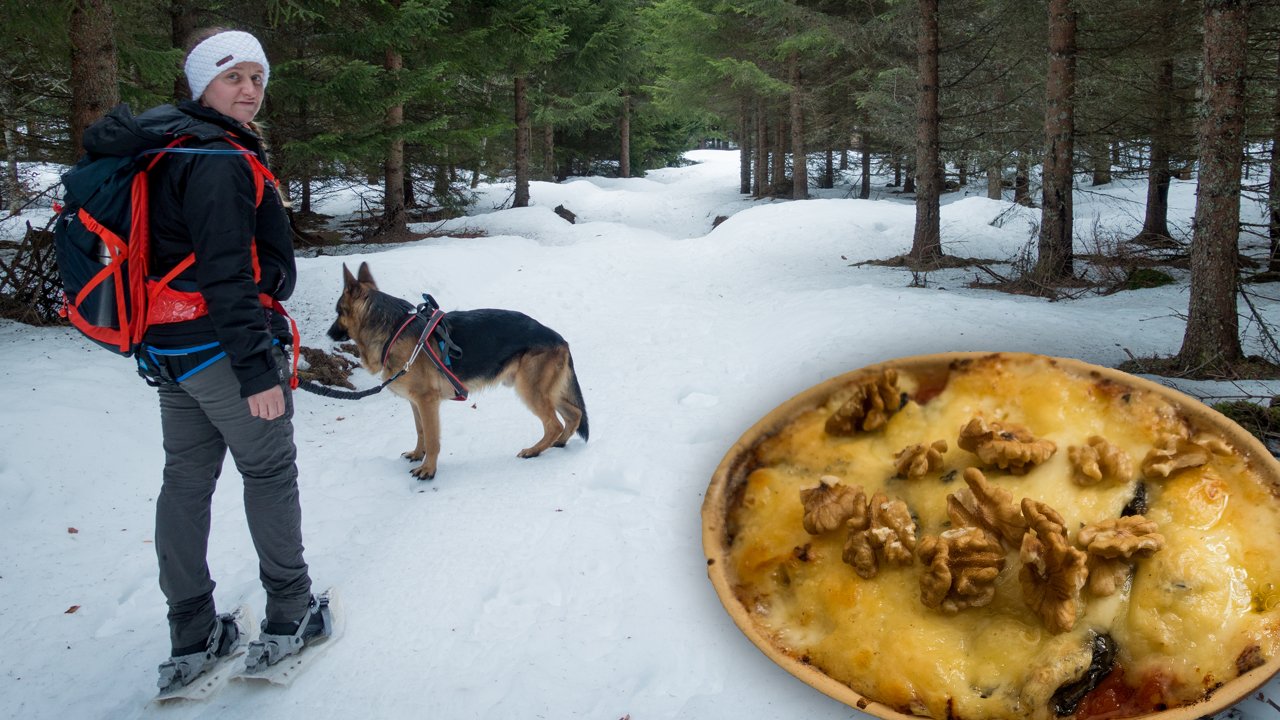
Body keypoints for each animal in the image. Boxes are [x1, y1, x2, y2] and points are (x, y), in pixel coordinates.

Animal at [330, 262, 588, 476]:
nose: (328, 334)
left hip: (530, 390)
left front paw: (428, 470)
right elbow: (420, 431)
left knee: (554, 424)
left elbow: (432, 438)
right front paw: (418, 455)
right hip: (542, 389)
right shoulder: (416, 402)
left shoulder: (427, 402)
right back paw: (559, 442)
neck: (394, 329)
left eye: (338, 312)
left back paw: (534, 450)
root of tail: (559, 339)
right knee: (574, 414)